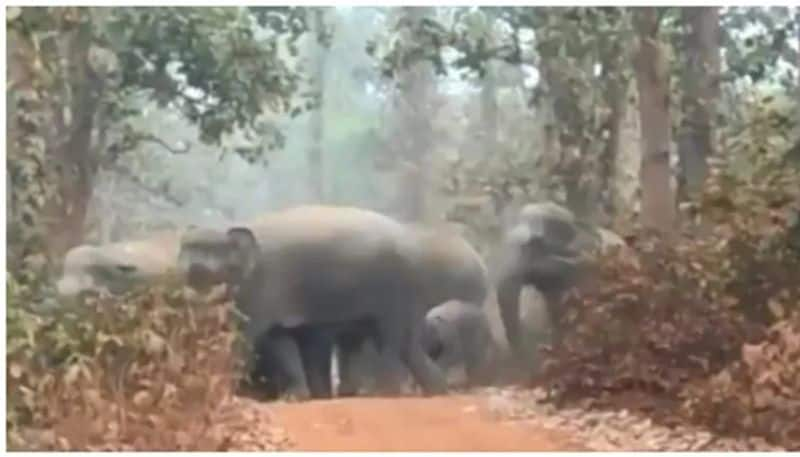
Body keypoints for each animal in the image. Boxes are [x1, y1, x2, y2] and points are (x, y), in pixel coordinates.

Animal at [177, 205, 450, 398]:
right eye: (185, 248)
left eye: (210, 250)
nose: (191, 268)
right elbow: (279, 339)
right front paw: (296, 397)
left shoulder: (263, 285)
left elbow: (247, 337)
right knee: (404, 344)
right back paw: (437, 391)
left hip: (396, 286)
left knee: (390, 339)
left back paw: (385, 394)